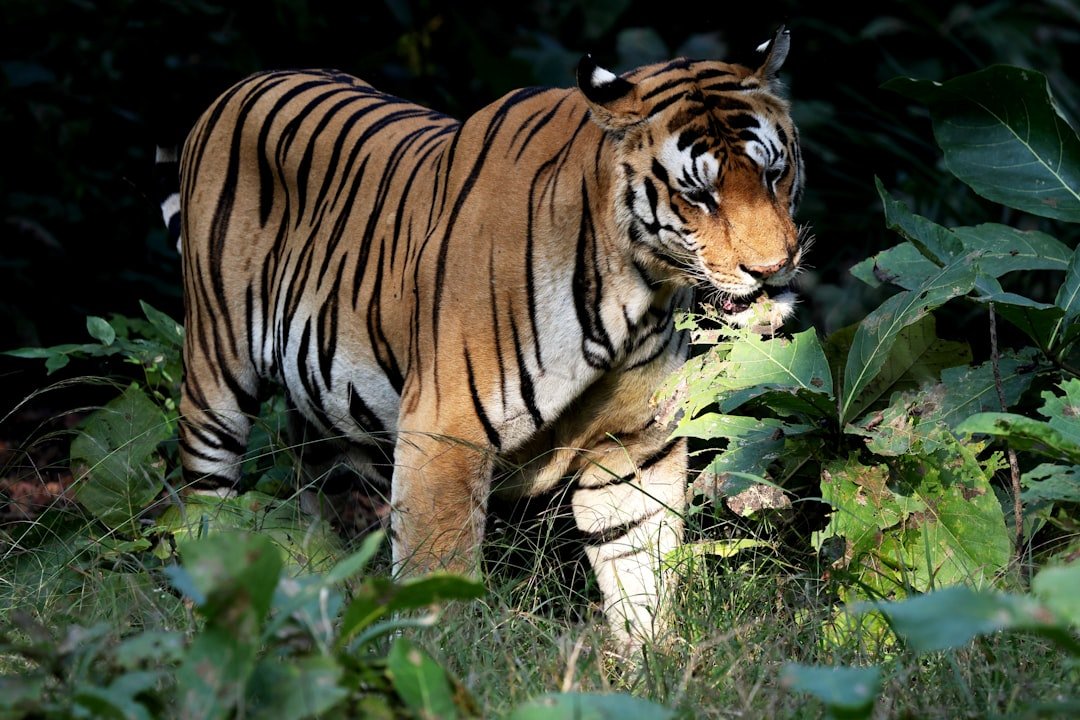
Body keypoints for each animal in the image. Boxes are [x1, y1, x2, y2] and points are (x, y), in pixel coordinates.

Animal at [157, 25, 807, 653]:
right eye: (699, 195)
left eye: (774, 174)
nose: (772, 268)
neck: (635, 291)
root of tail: (247, 81)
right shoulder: (445, 432)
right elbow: (437, 573)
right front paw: (436, 659)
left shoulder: (634, 444)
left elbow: (638, 562)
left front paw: (652, 659)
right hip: (216, 374)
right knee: (206, 500)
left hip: (337, 423)